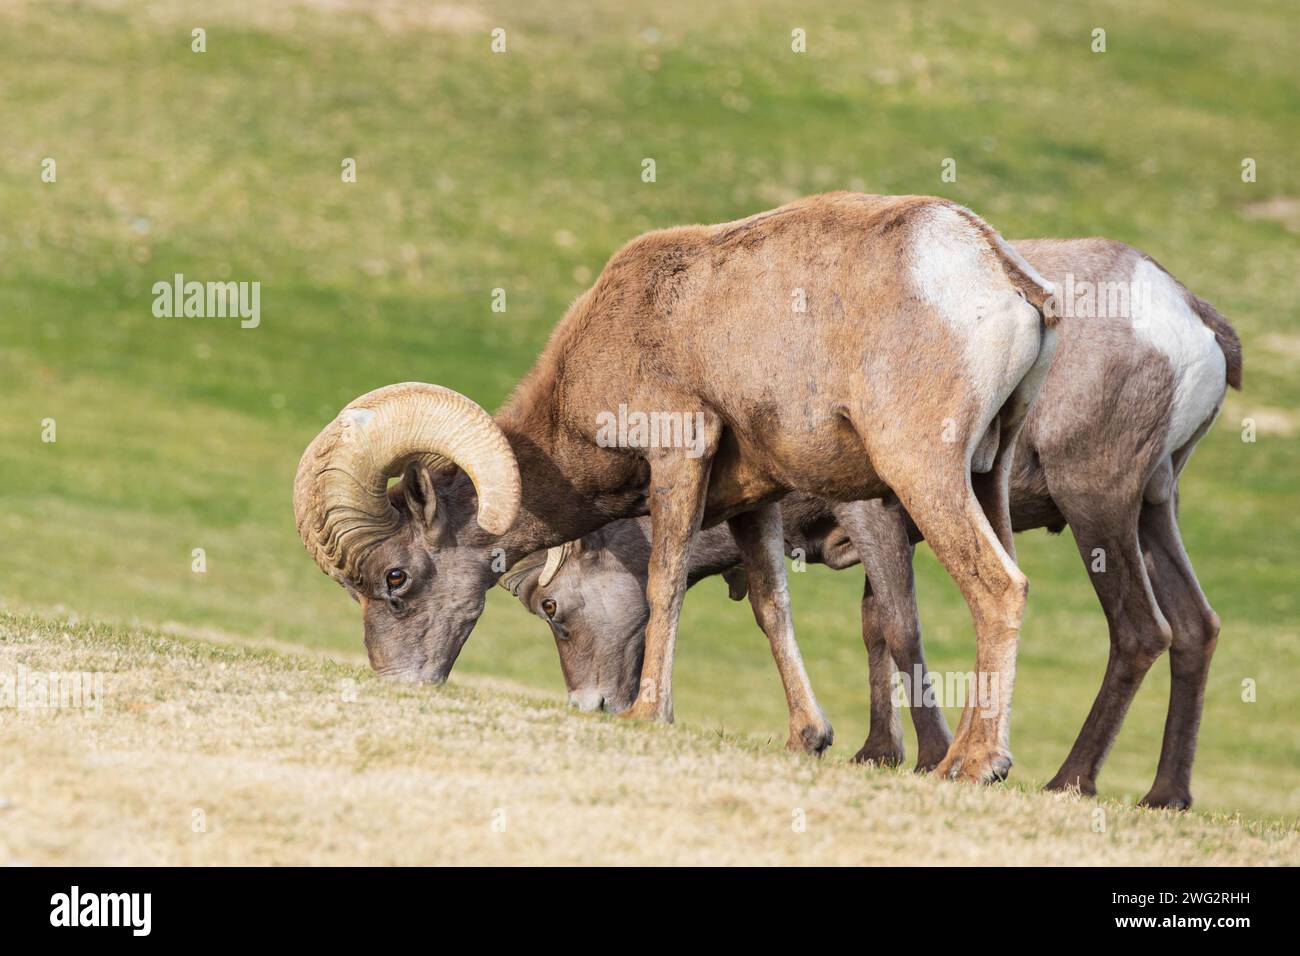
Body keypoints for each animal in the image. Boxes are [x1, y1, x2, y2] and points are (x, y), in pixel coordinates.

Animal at [294, 193, 1055, 782]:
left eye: (394, 578)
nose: (397, 685)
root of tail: (997, 272)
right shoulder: (757, 502)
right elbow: (773, 609)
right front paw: (805, 738)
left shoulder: (678, 453)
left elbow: (664, 583)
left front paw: (647, 713)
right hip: (987, 474)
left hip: (923, 472)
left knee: (999, 588)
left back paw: (974, 765)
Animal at [501, 237, 1241, 809]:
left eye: (552, 607)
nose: (592, 706)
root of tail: (1191, 318)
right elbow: (872, 628)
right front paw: (875, 751)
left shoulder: (874, 510)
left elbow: (901, 627)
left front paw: (929, 754)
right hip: (1154, 507)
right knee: (1196, 626)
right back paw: (1164, 795)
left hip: (1095, 503)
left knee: (1139, 630)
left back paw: (1065, 779)